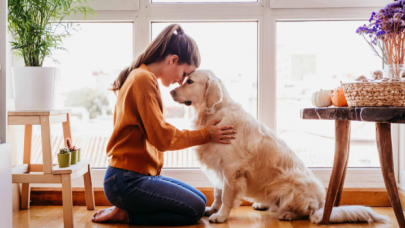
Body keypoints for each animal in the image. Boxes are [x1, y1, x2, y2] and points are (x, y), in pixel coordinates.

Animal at [170, 69, 388, 224]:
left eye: (190, 81)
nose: (171, 91)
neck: (213, 113)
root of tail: (322, 204)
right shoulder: (218, 165)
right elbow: (217, 192)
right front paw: (212, 209)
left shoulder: (231, 169)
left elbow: (226, 195)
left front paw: (221, 216)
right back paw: (262, 205)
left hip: (291, 187)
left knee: (308, 213)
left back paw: (288, 215)